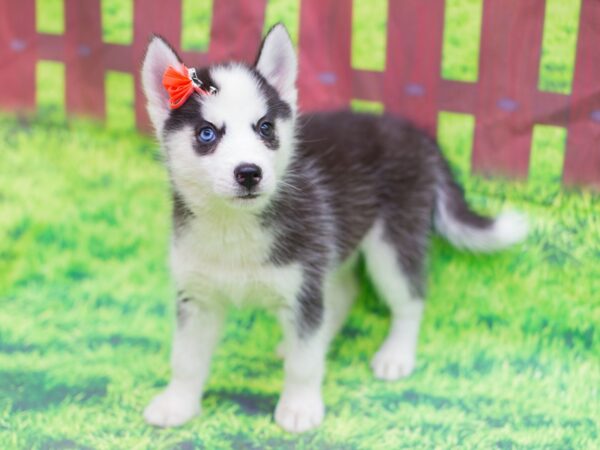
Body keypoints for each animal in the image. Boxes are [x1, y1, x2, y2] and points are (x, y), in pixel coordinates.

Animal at [139, 23, 524, 432]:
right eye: (207, 133)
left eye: (265, 128)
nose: (249, 173)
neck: (235, 225)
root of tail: (416, 134)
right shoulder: (197, 298)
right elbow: (186, 359)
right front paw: (178, 403)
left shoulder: (304, 288)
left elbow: (304, 364)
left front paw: (300, 406)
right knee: (342, 294)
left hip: (391, 244)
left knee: (410, 299)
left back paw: (397, 354)